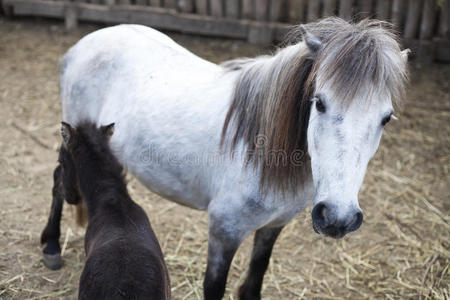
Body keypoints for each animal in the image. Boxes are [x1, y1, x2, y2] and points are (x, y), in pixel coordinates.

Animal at [41, 17, 408, 298]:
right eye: (319, 102)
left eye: (386, 118)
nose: (337, 218)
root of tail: (83, 44)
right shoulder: (224, 231)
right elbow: (214, 287)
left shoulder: (273, 226)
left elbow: (255, 277)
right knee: (59, 182)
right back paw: (51, 246)